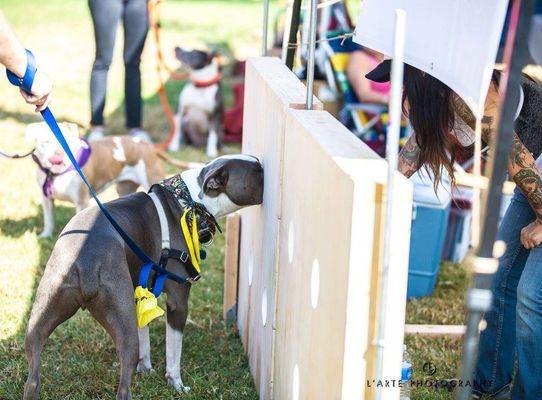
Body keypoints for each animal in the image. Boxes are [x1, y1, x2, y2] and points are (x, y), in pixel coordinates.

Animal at [23, 154, 266, 400]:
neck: (189, 203)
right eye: (258, 172)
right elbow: (173, 351)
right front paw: (176, 384)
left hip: (39, 320)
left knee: (33, 376)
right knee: (123, 385)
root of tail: (86, 258)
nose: (265, 168)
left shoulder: (141, 291)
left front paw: (146, 369)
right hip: (123, 326)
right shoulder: (178, 301)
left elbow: (145, 333)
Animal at [28, 122, 164, 238]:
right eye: (46, 142)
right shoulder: (47, 199)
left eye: (66, 142)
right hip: (124, 189)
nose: (59, 155)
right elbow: (48, 219)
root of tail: (146, 144)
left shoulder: (81, 202)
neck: (57, 174)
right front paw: (46, 235)